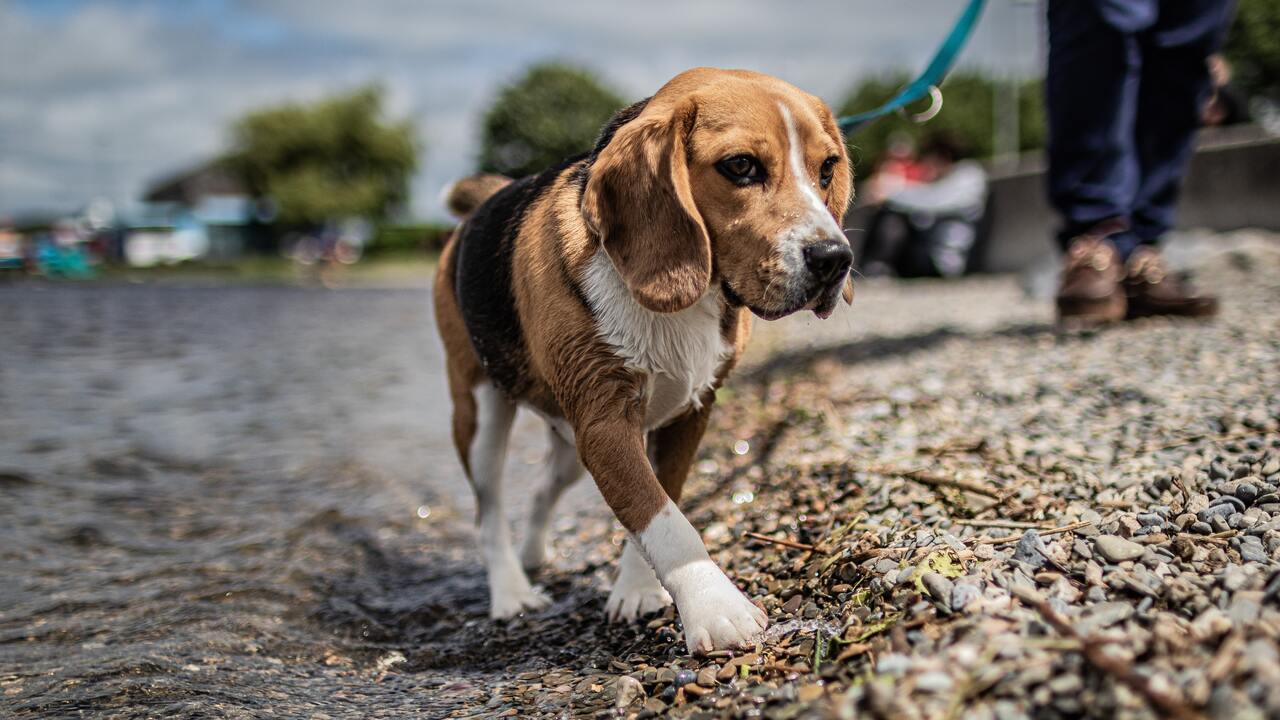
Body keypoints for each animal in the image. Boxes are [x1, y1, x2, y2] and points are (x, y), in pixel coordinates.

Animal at [435, 65, 855, 650]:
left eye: (827, 169)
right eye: (741, 166)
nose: (836, 258)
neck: (692, 302)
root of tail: (485, 203)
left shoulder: (686, 415)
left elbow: (659, 502)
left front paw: (637, 589)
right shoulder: (607, 424)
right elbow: (663, 519)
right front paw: (716, 609)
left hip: (570, 444)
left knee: (541, 489)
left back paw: (534, 555)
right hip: (480, 413)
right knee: (487, 509)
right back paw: (512, 593)